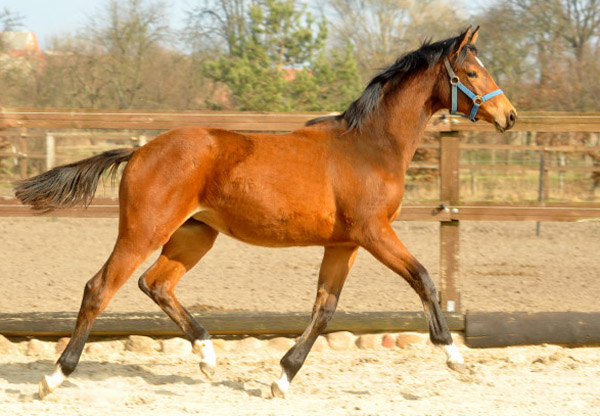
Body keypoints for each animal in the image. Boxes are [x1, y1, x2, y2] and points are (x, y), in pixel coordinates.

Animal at [14, 26, 516, 400]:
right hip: (145, 230)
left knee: (155, 283)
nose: (509, 116)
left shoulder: (344, 243)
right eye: (472, 71)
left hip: (196, 234)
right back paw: (54, 377)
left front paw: (282, 378)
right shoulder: (374, 232)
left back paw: (207, 357)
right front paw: (454, 357)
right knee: (100, 287)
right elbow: (424, 279)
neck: (370, 147)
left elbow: (324, 309)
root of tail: (139, 152)